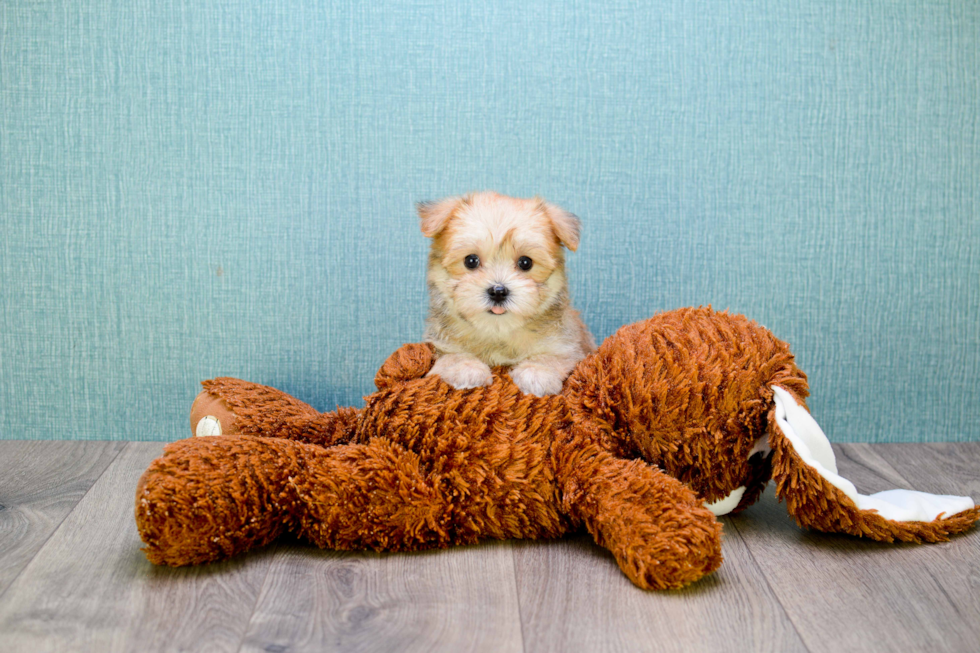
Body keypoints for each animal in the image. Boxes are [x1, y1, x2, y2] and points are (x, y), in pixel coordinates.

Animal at [418, 191, 592, 394]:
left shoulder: (569, 348)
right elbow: (452, 356)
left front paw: (536, 372)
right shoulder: (440, 346)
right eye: (471, 261)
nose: (498, 291)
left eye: (525, 263)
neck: (498, 331)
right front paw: (466, 368)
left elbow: (552, 358)